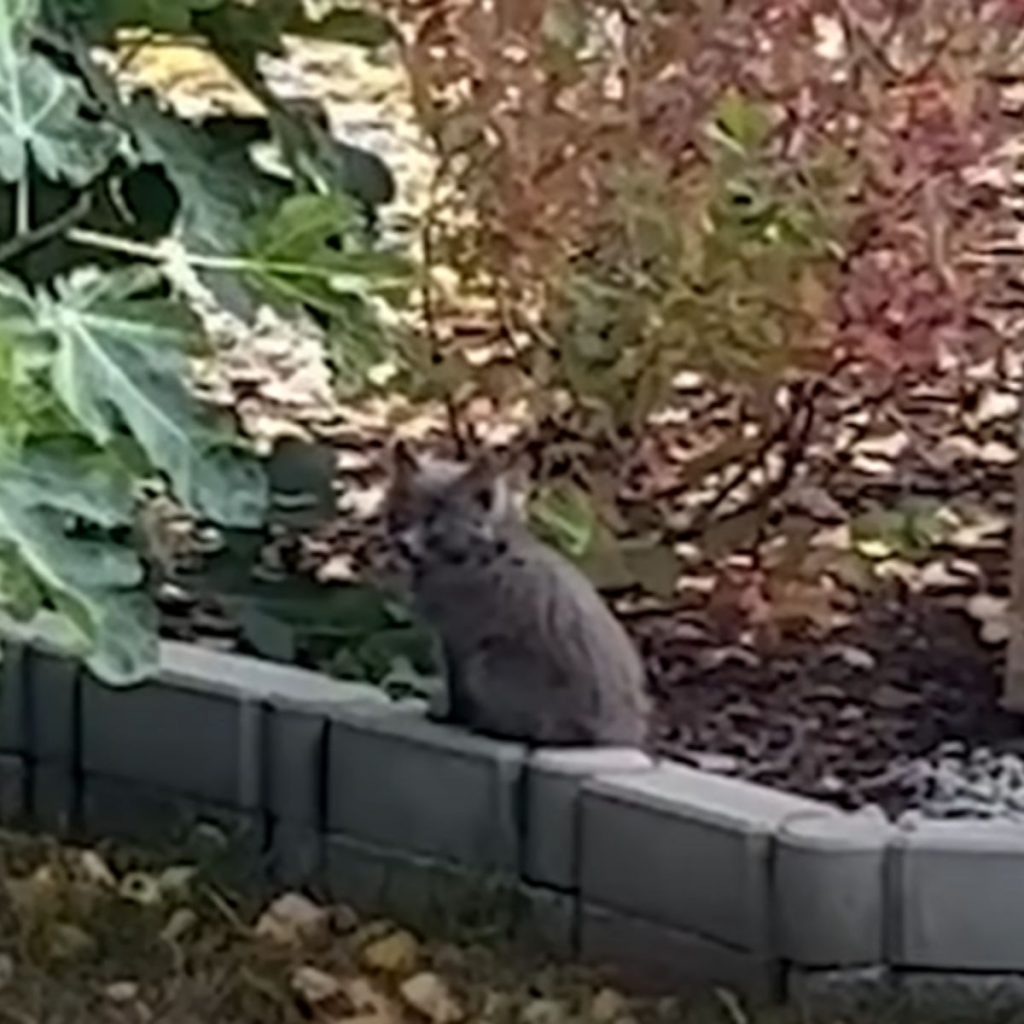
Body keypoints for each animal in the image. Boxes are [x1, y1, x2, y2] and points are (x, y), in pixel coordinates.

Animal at [385, 442, 647, 745]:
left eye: (433, 523)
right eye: (401, 513)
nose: (402, 545)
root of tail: (619, 734)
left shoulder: (457, 640)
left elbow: (457, 687)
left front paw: (451, 718)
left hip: (488, 659)